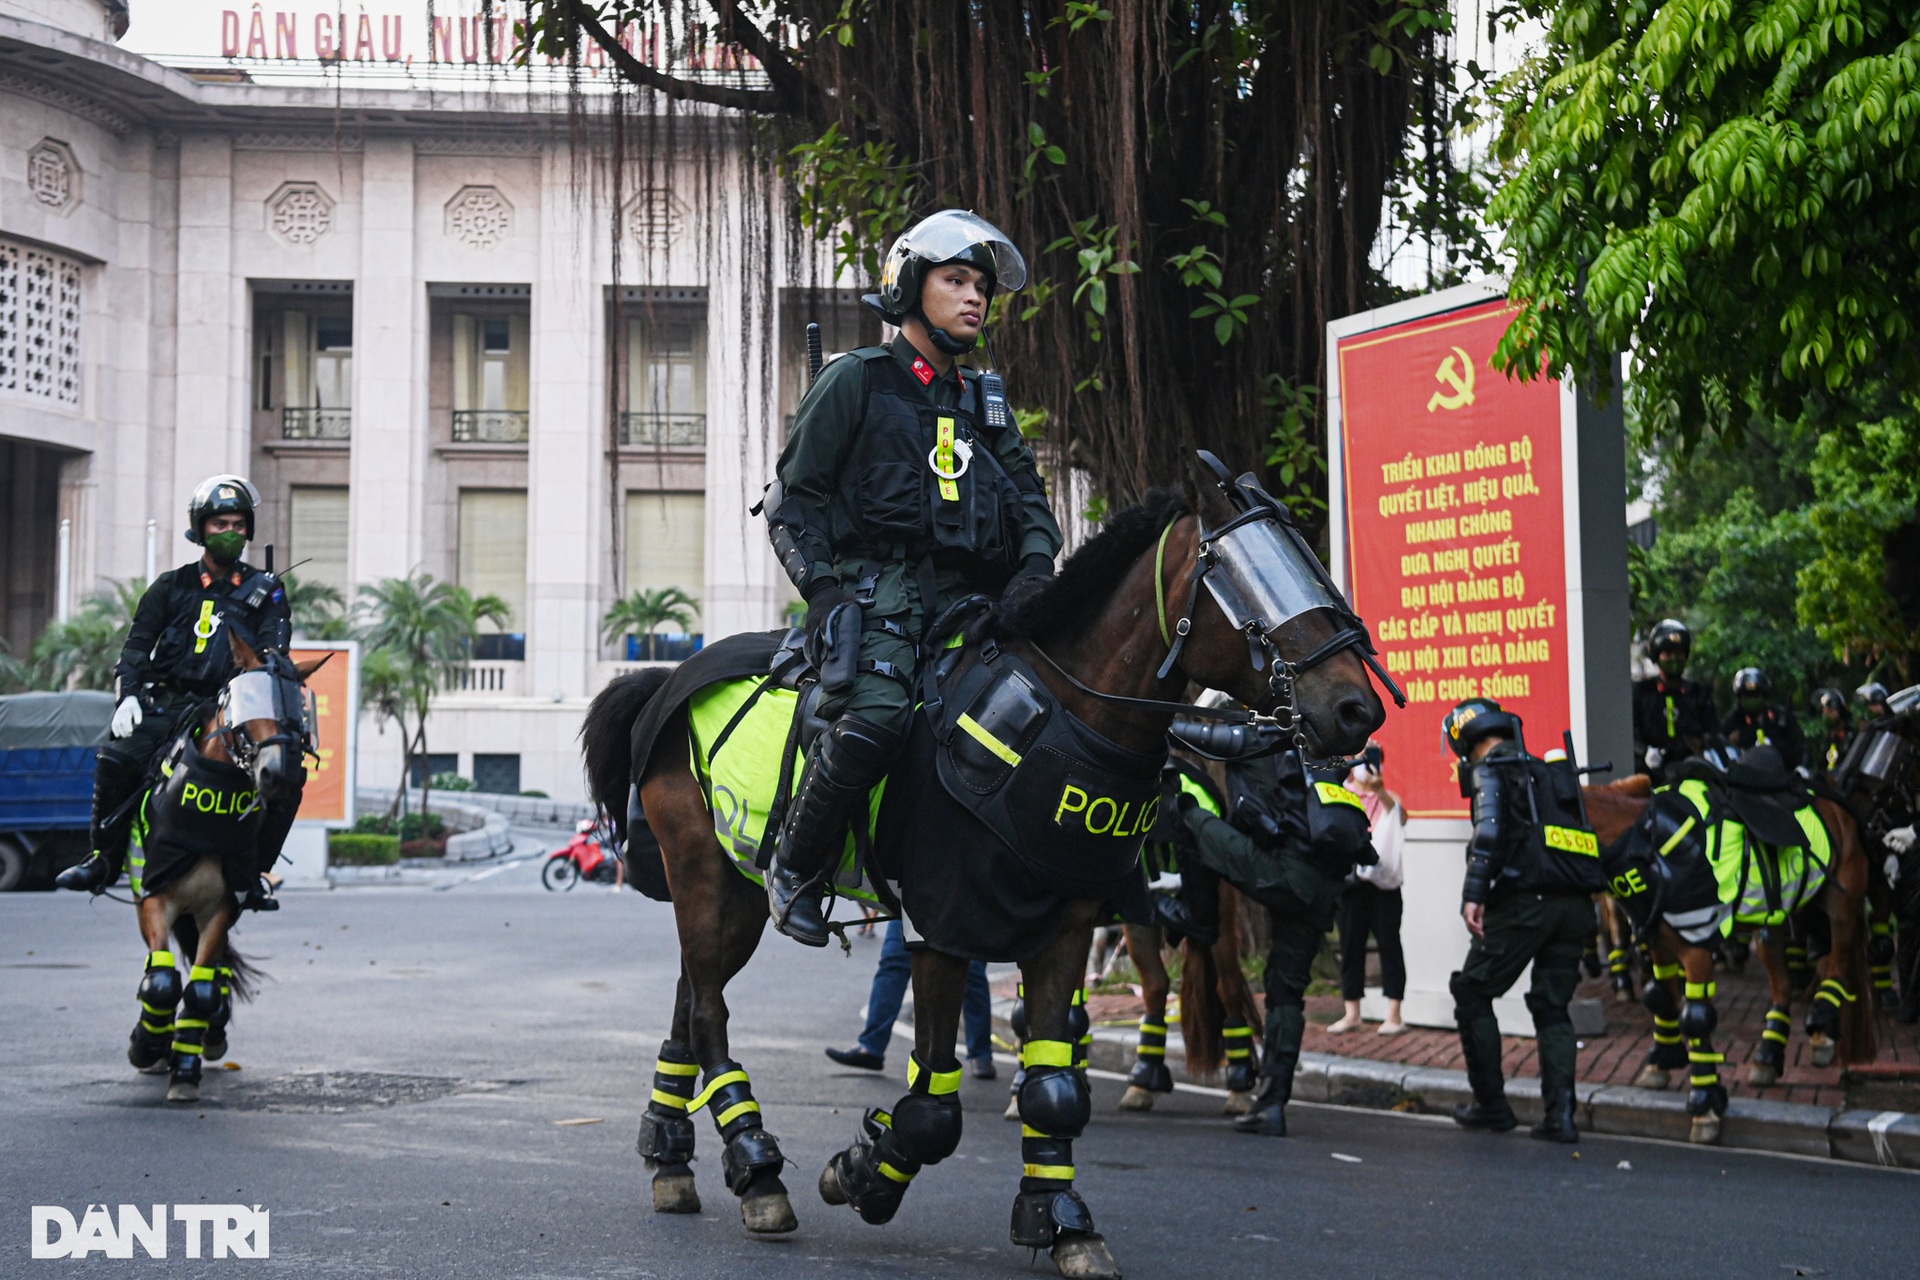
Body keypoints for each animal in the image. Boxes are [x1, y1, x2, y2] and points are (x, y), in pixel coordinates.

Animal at [123, 629, 320, 1105]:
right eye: (246, 699)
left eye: (299, 707)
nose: (280, 776)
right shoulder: (154, 895)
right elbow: (162, 981)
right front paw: (148, 1044)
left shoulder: (224, 905)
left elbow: (201, 987)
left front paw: (185, 1069)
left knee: (211, 974)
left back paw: (207, 1033)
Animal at [576, 477, 1390, 1274]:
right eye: (1250, 585)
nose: (1357, 709)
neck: (1065, 718)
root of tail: (665, 678)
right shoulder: (940, 925)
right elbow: (935, 1107)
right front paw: (864, 1173)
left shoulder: (1064, 927)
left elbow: (1055, 1082)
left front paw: (1060, 1218)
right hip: (706, 878)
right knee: (708, 1010)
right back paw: (755, 1170)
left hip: (736, 893)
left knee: (691, 997)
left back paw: (671, 1157)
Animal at [1589, 771, 1873, 1143]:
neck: (1645, 846)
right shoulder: (1658, 941)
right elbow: (1661, 998)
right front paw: (1663, 1061)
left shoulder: (1695, 948)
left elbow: (1695, 1017)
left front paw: (1705, 1105)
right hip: (1774, 921)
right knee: (1784, 984)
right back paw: (1769, 1054)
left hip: (1841, 908)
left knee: (1835, 966)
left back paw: (1821, 1031)